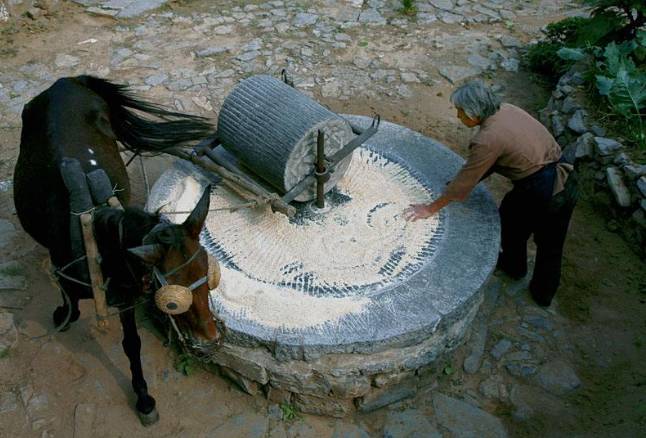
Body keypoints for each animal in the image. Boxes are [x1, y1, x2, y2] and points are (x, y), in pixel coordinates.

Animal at [13, 75, 221, 424]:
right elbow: (70, 300)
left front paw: (144, 399)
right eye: (172, 302)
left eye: (210, 274)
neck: (98, 238)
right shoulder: (69, 272)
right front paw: (63, 314)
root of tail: (65, 81)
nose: (211, 338)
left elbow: (132, 344)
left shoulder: (125, 294)